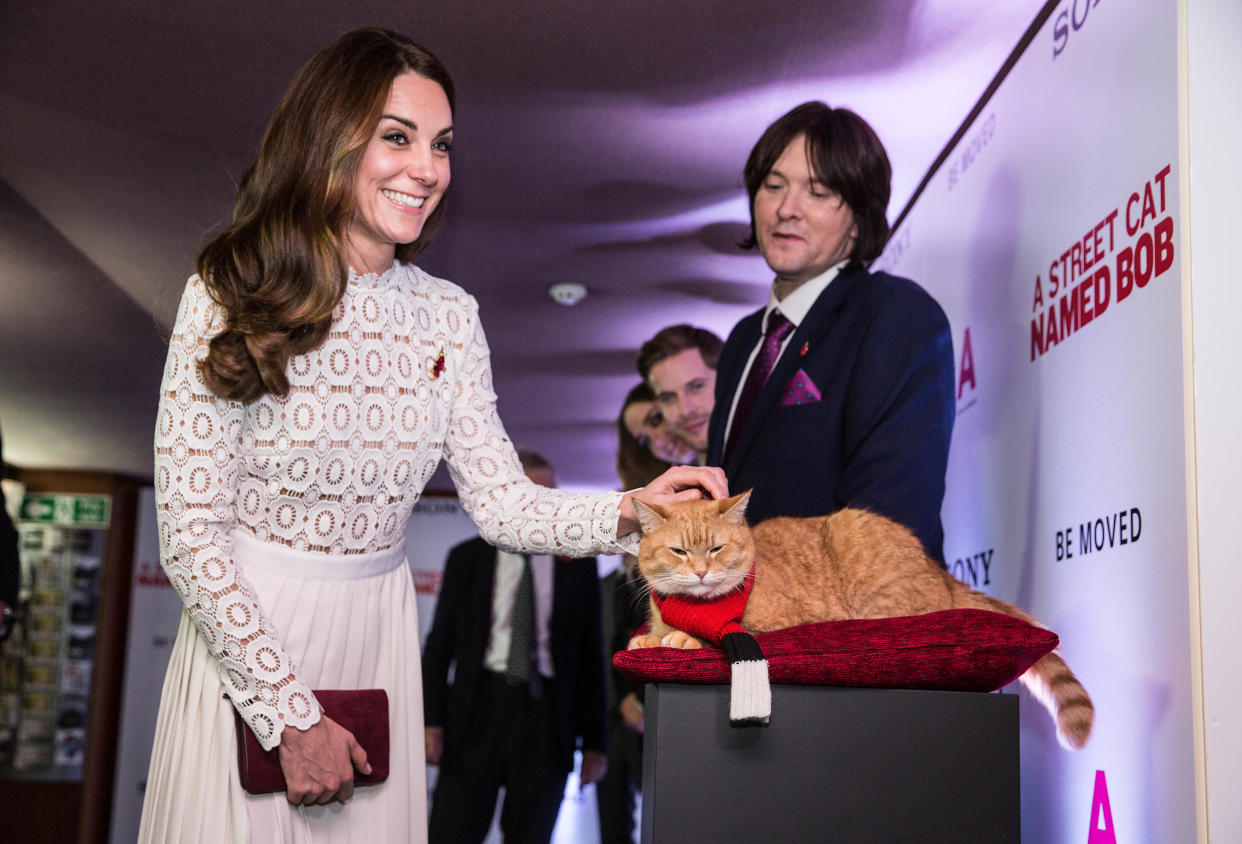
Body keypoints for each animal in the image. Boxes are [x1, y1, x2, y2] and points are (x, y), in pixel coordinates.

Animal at [630, 491, 1097, 749]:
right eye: (679, 552)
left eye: (716, 549)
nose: (701, 573)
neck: (691, 605)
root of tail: (942, 573)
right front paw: (649, 639)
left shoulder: (779, 621)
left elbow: (716, 634)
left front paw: (684, 638)